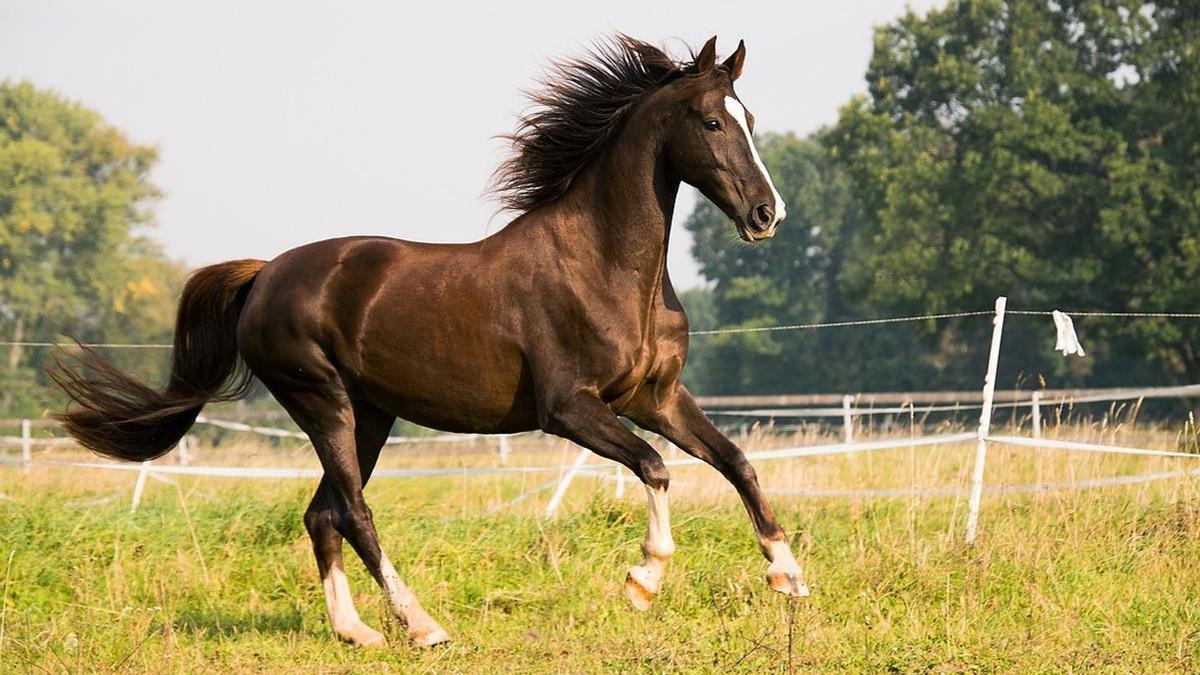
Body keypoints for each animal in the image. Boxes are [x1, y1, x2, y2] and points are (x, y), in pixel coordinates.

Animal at [51, 36, 811, 648]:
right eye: (712, 121)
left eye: (750, 119)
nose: (766, 215)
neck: (604, 266)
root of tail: (264, 274)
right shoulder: (570, 408)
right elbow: (655, 467)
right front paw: (643, 580)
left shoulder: (655, 397)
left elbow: (736, 460)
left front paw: (789, 575)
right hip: (322, 402)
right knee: (353, 512)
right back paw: (422, 626)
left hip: (370, 414)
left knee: (321, 513)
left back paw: (356, 632)